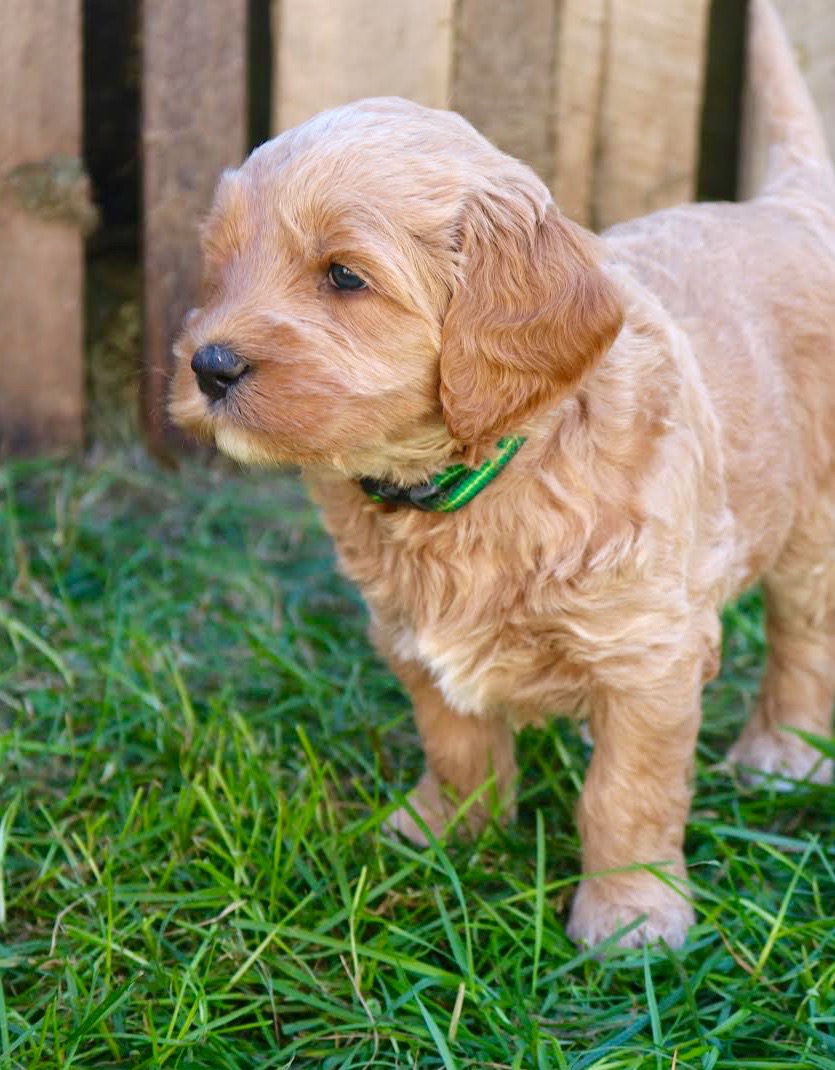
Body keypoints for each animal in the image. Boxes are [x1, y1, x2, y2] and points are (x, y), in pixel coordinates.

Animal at [171, 0, 834, 954]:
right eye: (222, 264)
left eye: (344, 276)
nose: (208, 366)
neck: (474, 476)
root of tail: (790, 206)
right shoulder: (407, 634)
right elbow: (455, 741)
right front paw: (447, 829)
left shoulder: (648, 653)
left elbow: (626, 793)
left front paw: (631, 914)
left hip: (810, 526)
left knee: (803, 638)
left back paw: (785, 753)